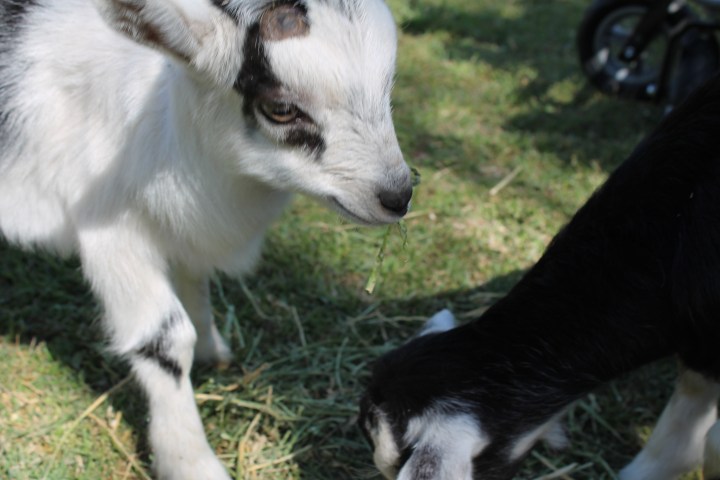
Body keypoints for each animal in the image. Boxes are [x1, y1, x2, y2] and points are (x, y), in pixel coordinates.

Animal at [0, 0, 412, 478]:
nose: (397, 195)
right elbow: (165, 337)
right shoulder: (111, 230)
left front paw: (214, 350)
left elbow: (196, 283)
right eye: (281, 108)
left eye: (387, 86)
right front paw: (190, 460)